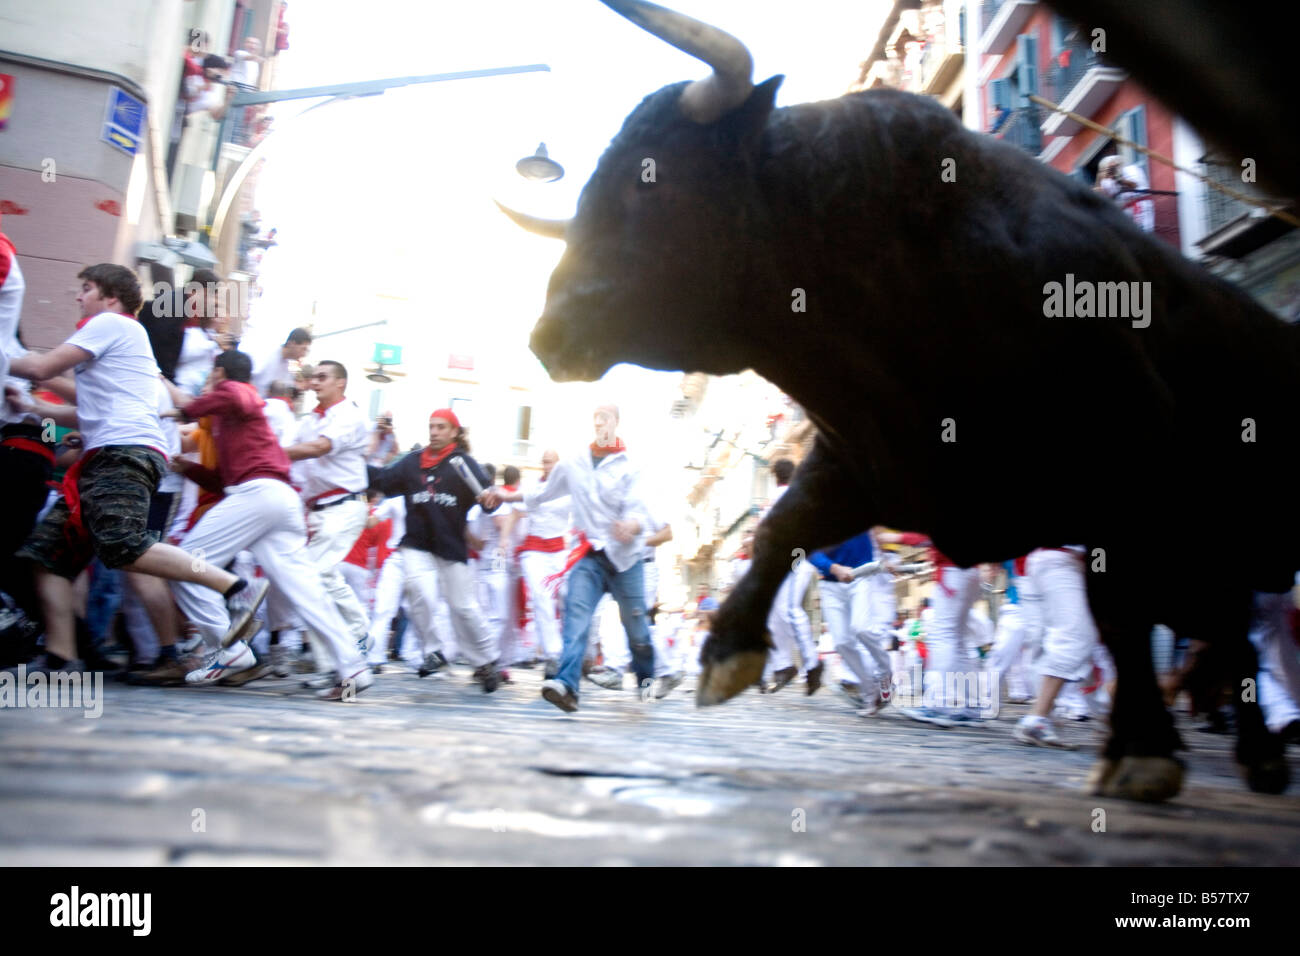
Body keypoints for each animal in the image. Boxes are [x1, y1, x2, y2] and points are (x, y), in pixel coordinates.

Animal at [499, 3, 1300, 806]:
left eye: (648, 181)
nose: (546, 333)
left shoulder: (1127, 470)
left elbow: (1119, 613)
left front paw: (1141, 752)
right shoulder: (870, 457)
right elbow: (780, 528)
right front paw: (729, 652)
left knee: (1224, 627)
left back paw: (1244, 747)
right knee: (1224, 630)